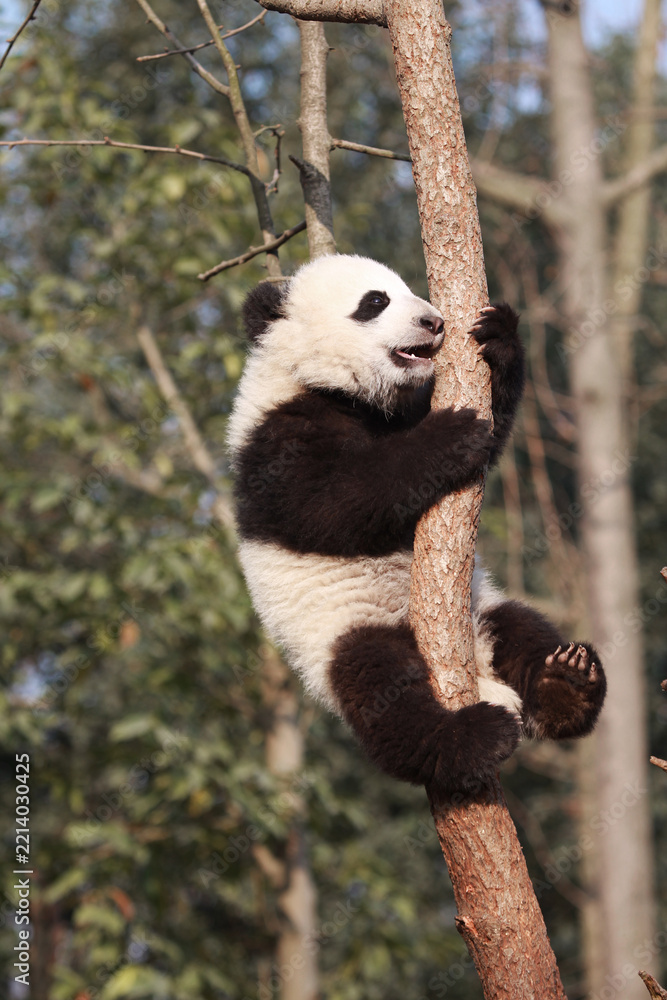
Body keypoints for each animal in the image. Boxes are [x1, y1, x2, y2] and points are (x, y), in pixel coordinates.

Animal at [228, 254, 606, 795]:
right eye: (375, 301)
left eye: (406, 287)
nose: (434, 322)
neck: (327, 386)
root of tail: (483, 672)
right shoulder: (275, 441)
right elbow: (334, 502)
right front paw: (450, 435)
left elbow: (490, 428)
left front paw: (498, 337)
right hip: (340, 629)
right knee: (383, 692)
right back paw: (469, 737)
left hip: (483, 607)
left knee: (523, 628)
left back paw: (567, 685)